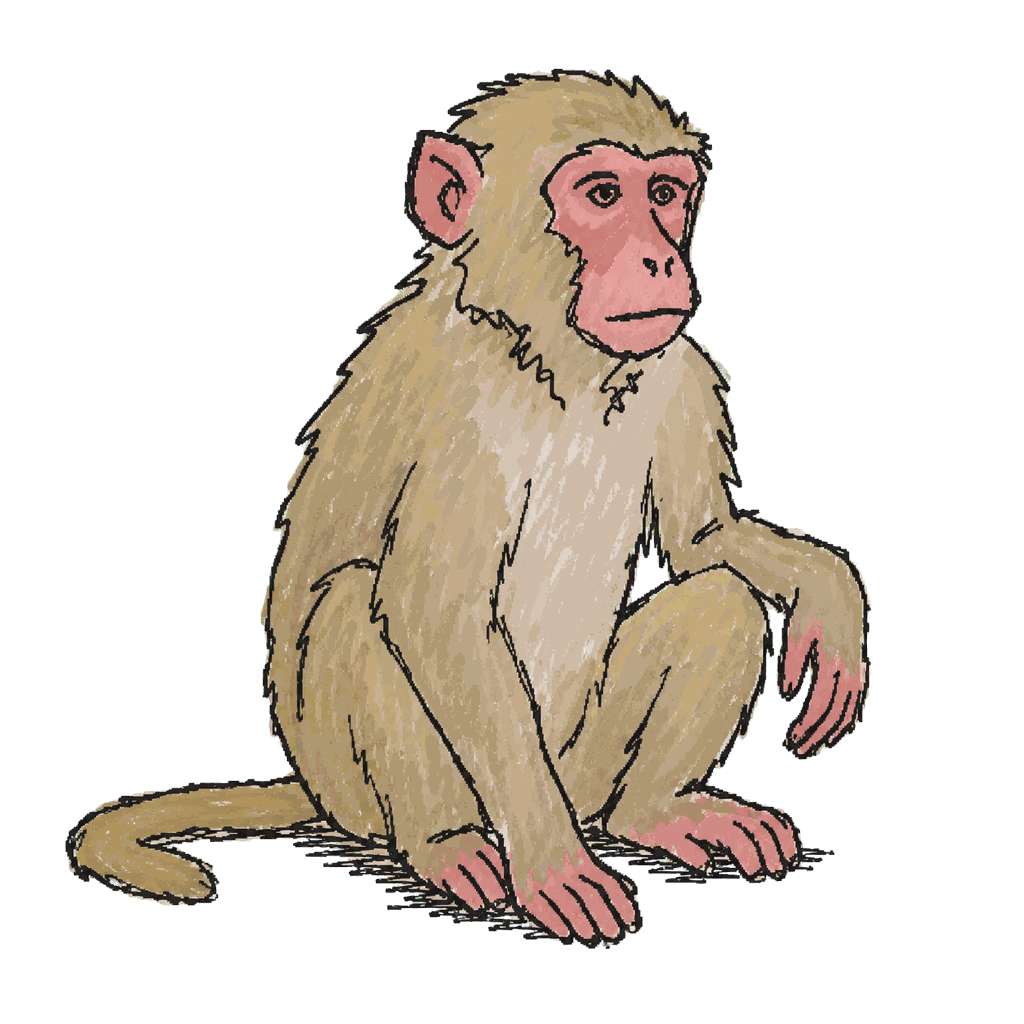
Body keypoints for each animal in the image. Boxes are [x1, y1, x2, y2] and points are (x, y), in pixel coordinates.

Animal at [67, 71, 869, 946]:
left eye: (664, 194)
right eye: (601, 194)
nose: (661, 257)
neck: (554, 364)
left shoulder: (681, 366)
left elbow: (704, 540)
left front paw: (831, 590)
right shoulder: (457, 409)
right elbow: (436, 613)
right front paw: (553, 865)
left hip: (581, 767)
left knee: (722, 598)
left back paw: (656, 811)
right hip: (381, 790)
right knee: (356, 603)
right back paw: (446, 841)